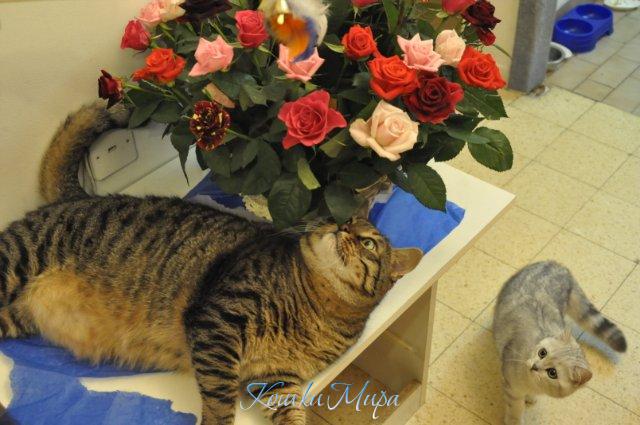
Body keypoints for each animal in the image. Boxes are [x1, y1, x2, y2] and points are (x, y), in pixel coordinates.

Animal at [0, 101, 423, 424]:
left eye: (367, 242)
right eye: (344, 220)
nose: (340, 225)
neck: (321, 309)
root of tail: (76, 197)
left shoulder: (277, 380)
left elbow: (292, 413)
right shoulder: (218, 321)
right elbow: (220, 399)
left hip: (14, 315)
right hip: (13, 263)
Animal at [493, 261, 627, 425]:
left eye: (552, 373)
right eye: (542, 352)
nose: (534, 366)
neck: (533, 385)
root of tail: (557, 265)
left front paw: (530, 398)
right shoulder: (512, 388)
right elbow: (516, 410)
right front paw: (514, 419)